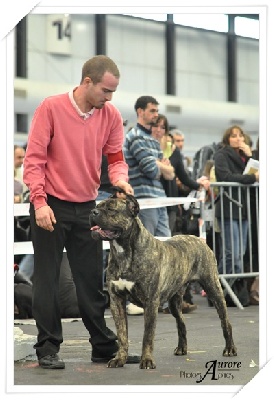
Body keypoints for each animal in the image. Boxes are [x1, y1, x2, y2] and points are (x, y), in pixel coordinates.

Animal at [89, 191, 237, 368]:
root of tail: (198, 239)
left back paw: (230, 349)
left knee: (225, 321)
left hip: (213, 288)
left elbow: (147, 335)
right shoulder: (116, 301)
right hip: (174, 302)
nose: (93, 212)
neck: (123, 252)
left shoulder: (150, 302)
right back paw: (181, 348)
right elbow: (122, 334)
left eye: (111, 209)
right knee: (181, 322)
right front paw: (120, 358)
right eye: (97, 206)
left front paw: (146, 360)